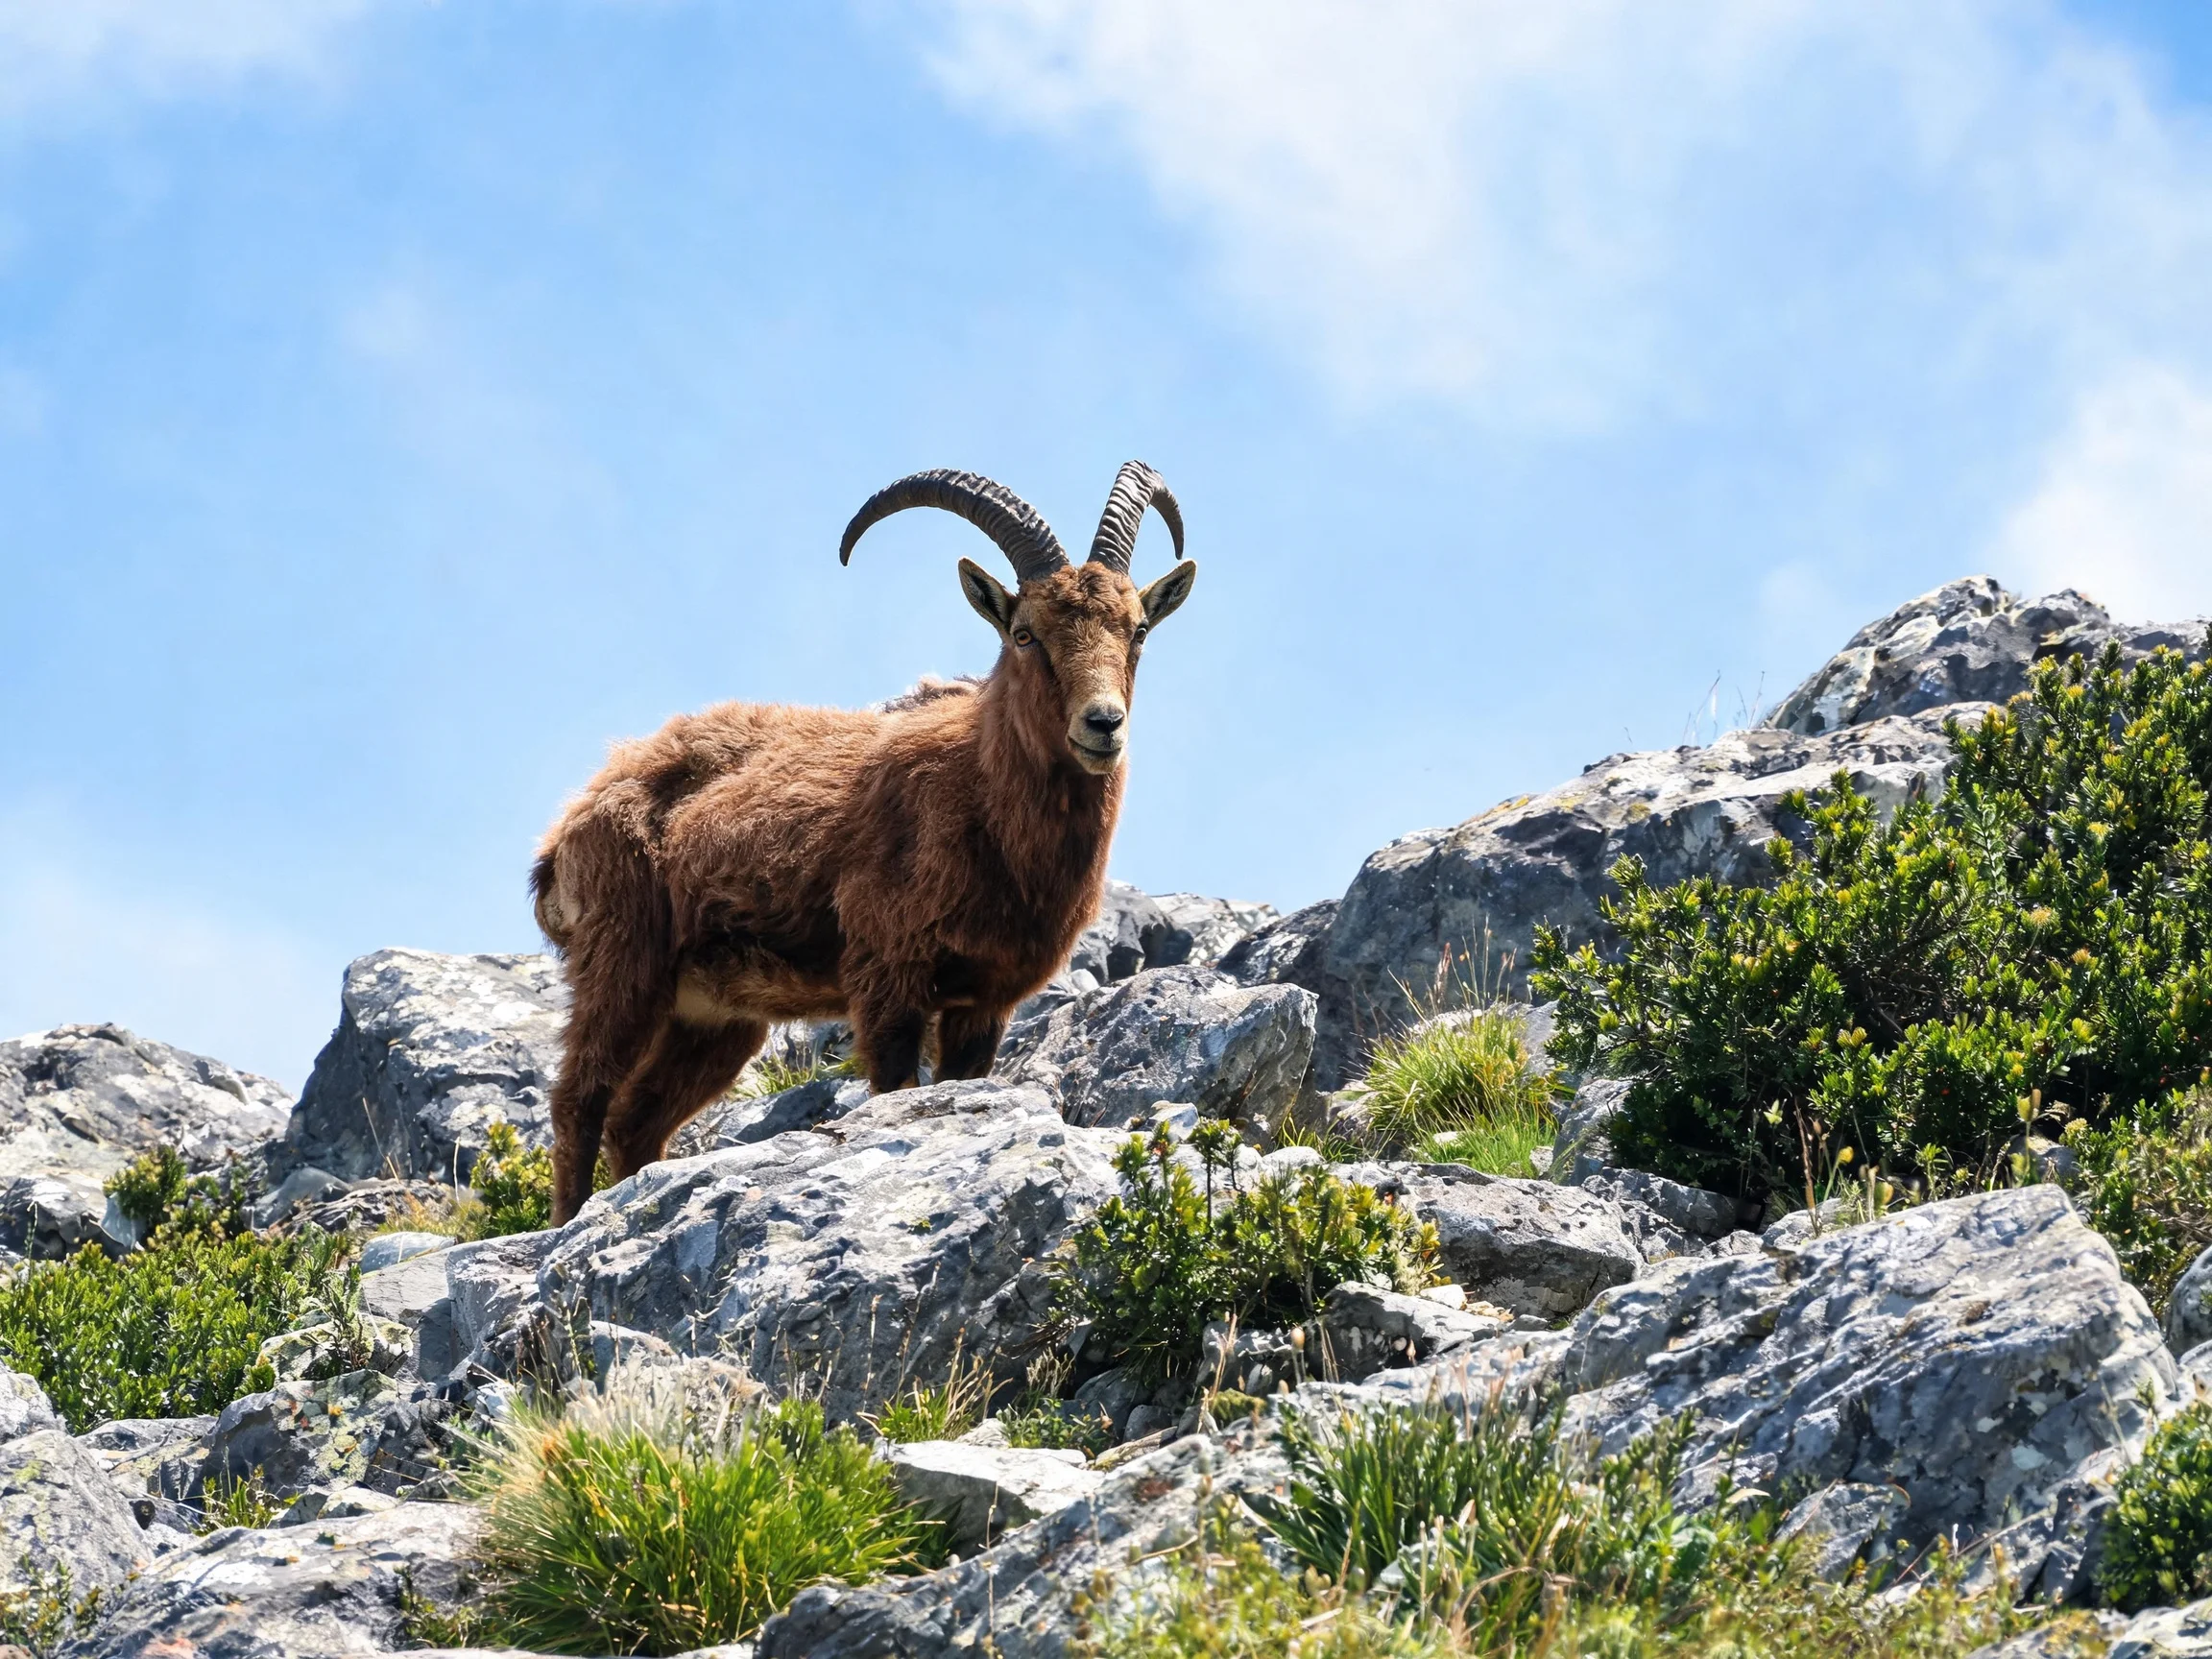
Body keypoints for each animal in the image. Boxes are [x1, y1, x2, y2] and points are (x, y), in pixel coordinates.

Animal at [531, 463, 1197, 1223]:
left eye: (1138, 629)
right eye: (1025, 634)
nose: (1102, 724)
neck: (981, 799)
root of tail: (568, 827)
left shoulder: (985, 1001)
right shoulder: (887, 977)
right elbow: (894, 1089)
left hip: (711, 1016)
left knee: (637, 1119)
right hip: (623, 962)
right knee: (580, 1099)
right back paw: (565, 1225)